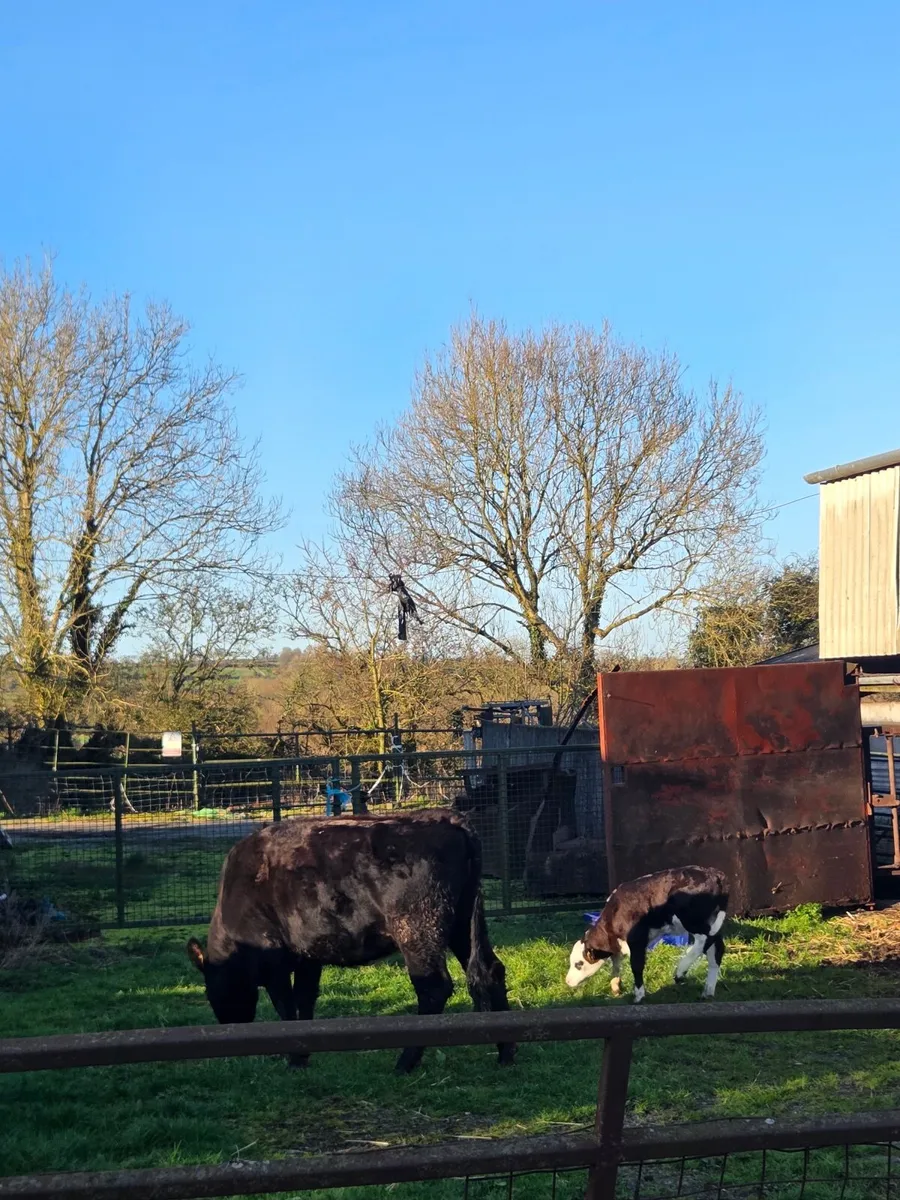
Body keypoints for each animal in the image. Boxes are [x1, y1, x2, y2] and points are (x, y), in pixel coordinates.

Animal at [186, 808, 515, 1074]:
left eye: (211, 991)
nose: (228, 1026)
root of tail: (447, 818)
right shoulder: (308, 955)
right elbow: (305, 1000)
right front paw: (304, 1054)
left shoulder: (273, 960)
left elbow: (286, 1006)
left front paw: (294, 1058)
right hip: (463, 922)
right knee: (489, 971)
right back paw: (506, 1055)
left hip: (418, 929)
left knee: (434, 987)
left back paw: (404, 1063)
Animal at [565, 866, 729, 1003]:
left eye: (579, 964)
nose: (567, 981)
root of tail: (714, 873)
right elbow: (616, 965)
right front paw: (616, 987)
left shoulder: (637, 941)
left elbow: (636, 966)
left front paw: (638, 996)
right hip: (711, 921)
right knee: (716, 949)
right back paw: (707, 991)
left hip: (692, 920)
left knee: (705, 940)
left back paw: (681, 970)